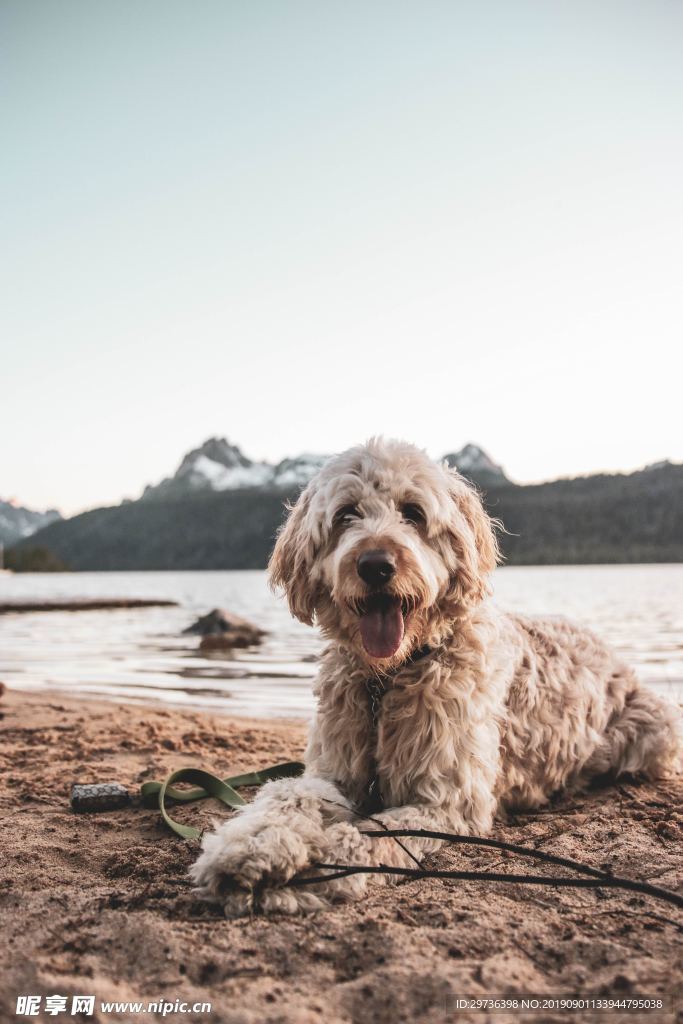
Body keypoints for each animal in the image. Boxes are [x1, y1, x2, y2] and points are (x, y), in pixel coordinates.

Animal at [189, 436, 679, 917]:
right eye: (346, 514)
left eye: (413, 512)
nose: (375, 565)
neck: (388, 679)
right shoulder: (334, 773)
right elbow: (287, 795)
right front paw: (249, 847)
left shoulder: (446, 801)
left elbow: (371, 834)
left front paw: (313, 868)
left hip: (657, 729)